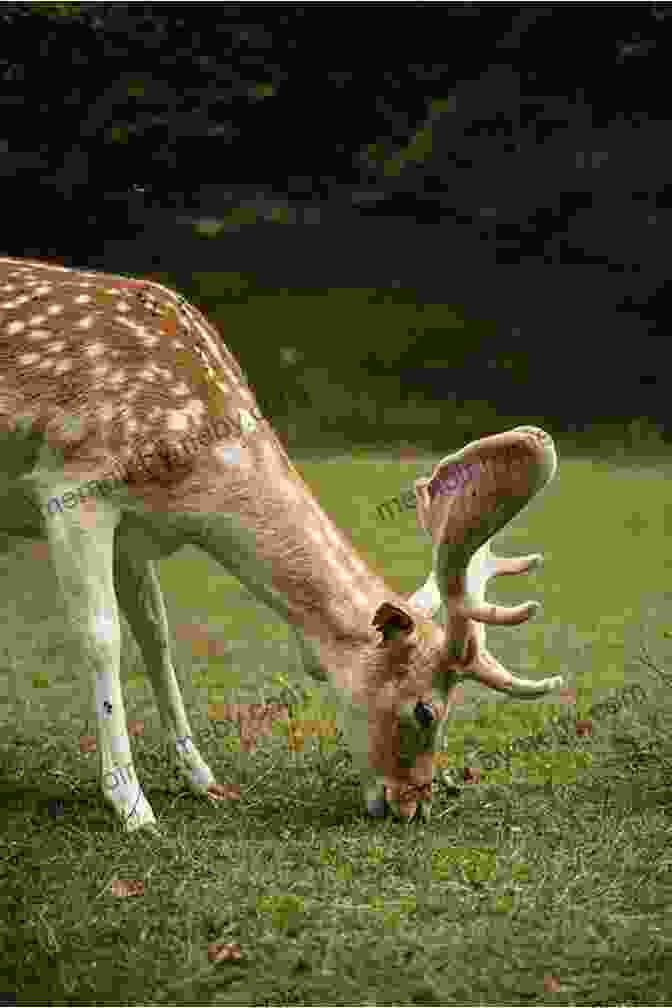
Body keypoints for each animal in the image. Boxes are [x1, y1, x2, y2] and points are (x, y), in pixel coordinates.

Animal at [0, 258, 564, 834]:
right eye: (426, 710)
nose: (412, 806)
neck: (189, 488)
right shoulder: (73, 487)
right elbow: (102, 638)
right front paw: (133, 807)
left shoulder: (136, 534)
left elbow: (156, 638)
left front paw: (204, 781)